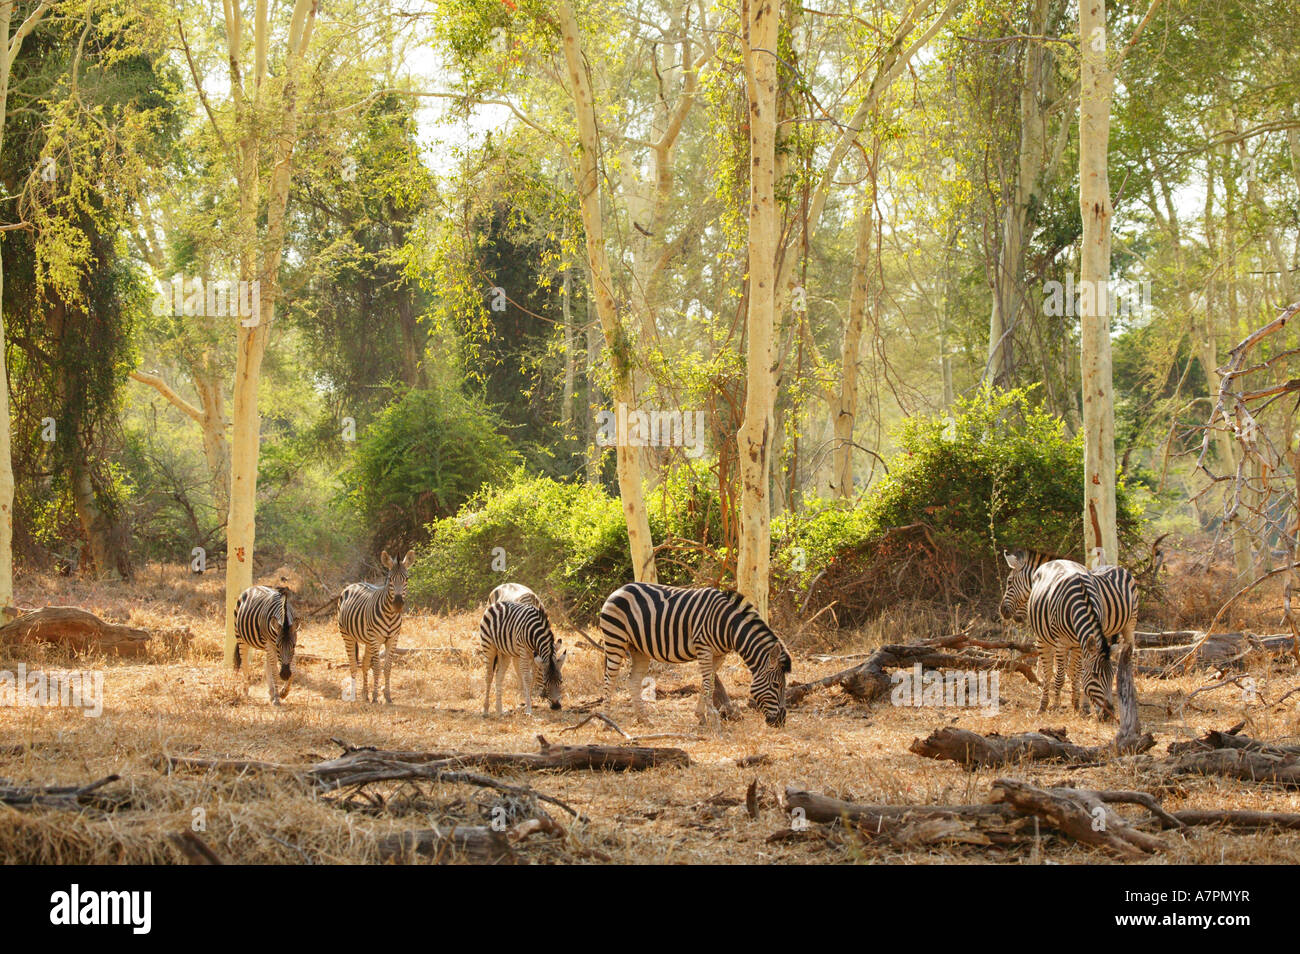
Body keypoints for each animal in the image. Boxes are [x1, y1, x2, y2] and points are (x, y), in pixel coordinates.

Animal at [338, 550, 413, 704]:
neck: (390, 615)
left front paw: (387, 696)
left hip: (367, 641)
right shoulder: (376, 639)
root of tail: (354, 584)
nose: (397, 604)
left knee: (364, 663)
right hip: (348, 636)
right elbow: (377, 667)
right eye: (389, 579)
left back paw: (365, 694)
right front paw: (375, 697)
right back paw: (354, 696)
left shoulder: (393, 639)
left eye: (406, 579)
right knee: (353, 665)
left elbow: (387, 668)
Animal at [598, 583, 792, 729]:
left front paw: (701, 716)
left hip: (639, 650)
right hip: (615, 640)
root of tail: (620, 589)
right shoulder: (703, 647)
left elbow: (709, 683)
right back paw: (607, 722)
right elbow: (707, 685)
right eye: (776, 685)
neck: (728, 626)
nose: (781, 721)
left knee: (633, 681)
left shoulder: (719, 654)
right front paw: (714, 720)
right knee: (610, 679)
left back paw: (644, 720)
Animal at [1000, 549, 1137, 719]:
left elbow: (1074, 673)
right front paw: (1060, 705)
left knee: (1129, 655)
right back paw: (1043, 706)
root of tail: (1118, 567)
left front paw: (1078, 705)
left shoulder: (1078, 644)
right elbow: (1062, 674)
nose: (1108, 714)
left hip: (1130, 624)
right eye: (1096, 675)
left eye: (1009, 581)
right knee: (1049, 672)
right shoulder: (1064, 643)